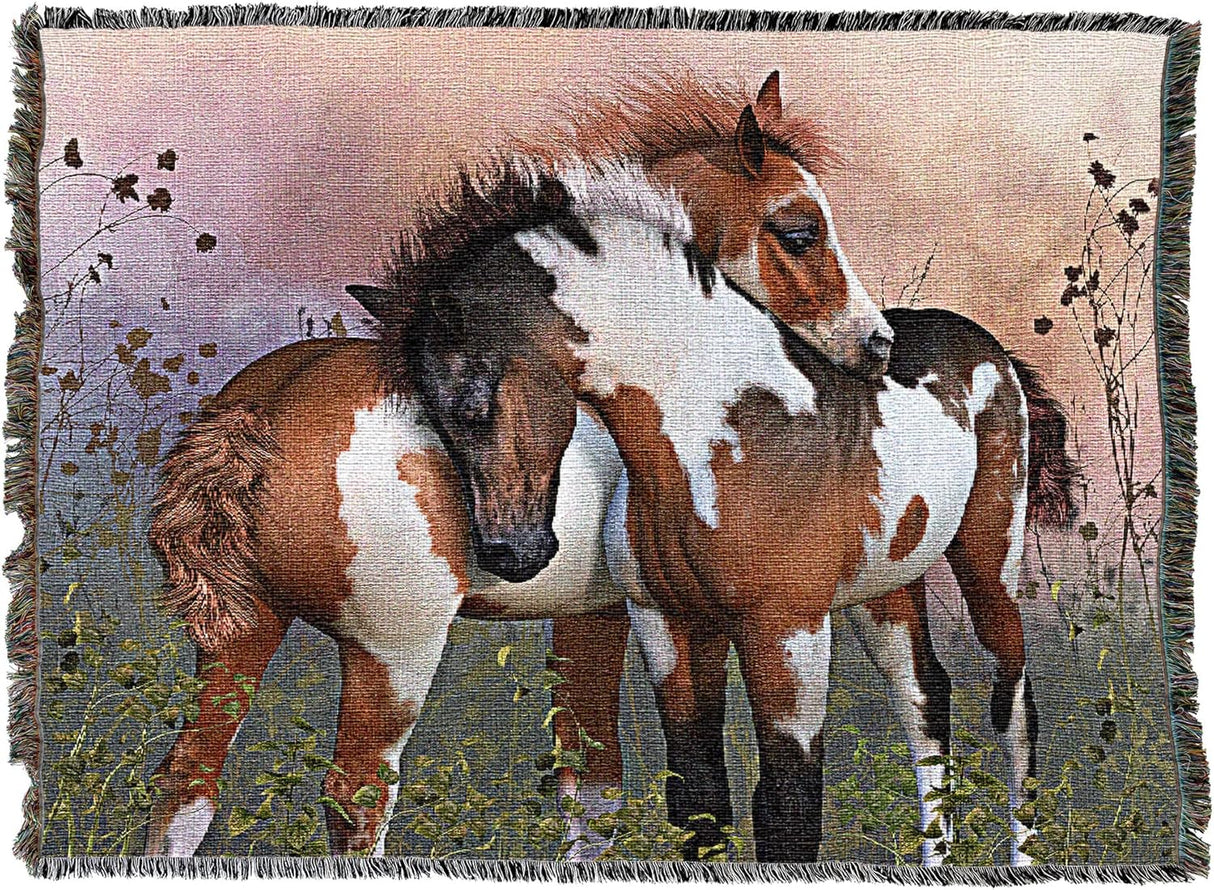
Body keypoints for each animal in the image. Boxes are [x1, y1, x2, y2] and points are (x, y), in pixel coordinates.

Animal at [372, 160, 1074, 865]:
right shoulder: (671, 624)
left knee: (1015, 709)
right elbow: (699, 798)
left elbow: (787, 806)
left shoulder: (786, 633)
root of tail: (989, 347)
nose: (510, 552)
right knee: (925, 701)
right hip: (887, 590)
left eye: (474, 401)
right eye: (427, 413)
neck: (721, 429)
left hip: (989, 566)